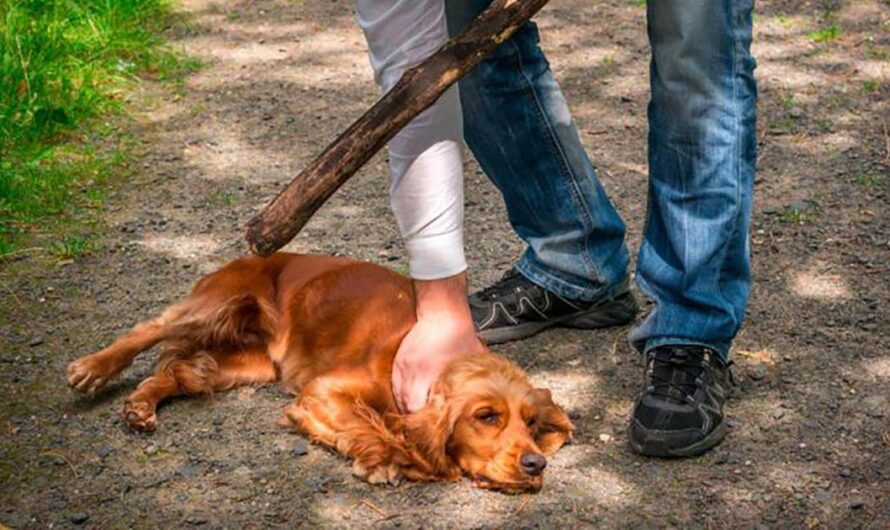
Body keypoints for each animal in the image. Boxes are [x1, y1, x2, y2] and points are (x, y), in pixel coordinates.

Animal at [66, 252, 572, 490]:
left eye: (531, 423)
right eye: (486, 416)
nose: (536, 464)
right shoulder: (322, 391)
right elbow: (368, 424)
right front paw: (387, 458)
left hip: (249, 364)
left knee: (181, 372)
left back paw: (140, 405)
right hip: (216, 303)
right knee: (149, 329)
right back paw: (91, 368)